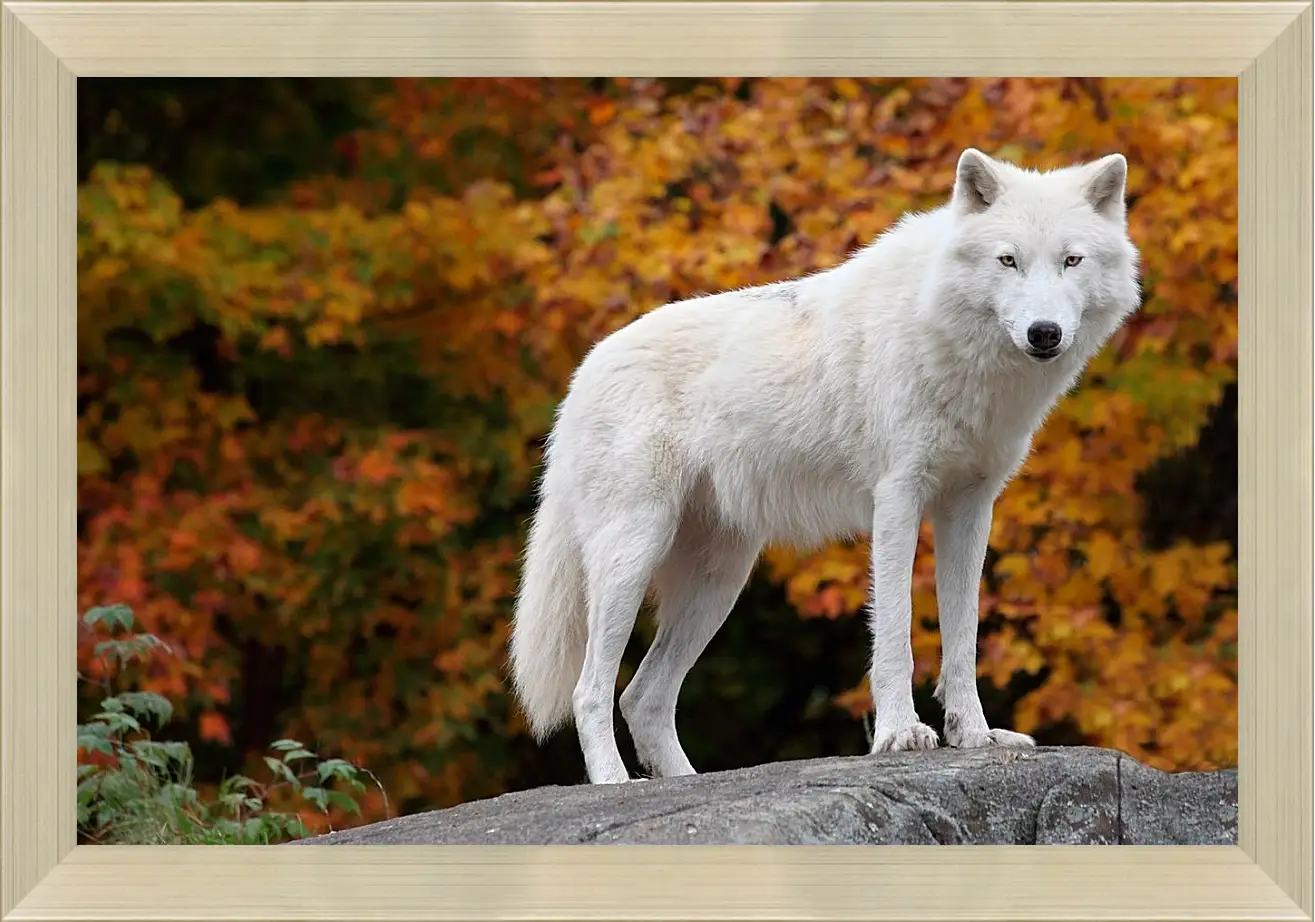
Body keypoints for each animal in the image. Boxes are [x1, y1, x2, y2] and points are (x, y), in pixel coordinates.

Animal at [507, 147, 1146, 778]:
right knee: (590, 692)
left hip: (718, 581)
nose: (1045, 333)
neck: (948, 338)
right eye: (1008, 260)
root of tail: (584, 372)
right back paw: (614, 786)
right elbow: (895, 633)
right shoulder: (898, 498)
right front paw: (900, 734)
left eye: (1071, 260)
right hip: (633, 555)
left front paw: (975, 736)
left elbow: (963, 638)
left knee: (642, 696)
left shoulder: (970, 508)